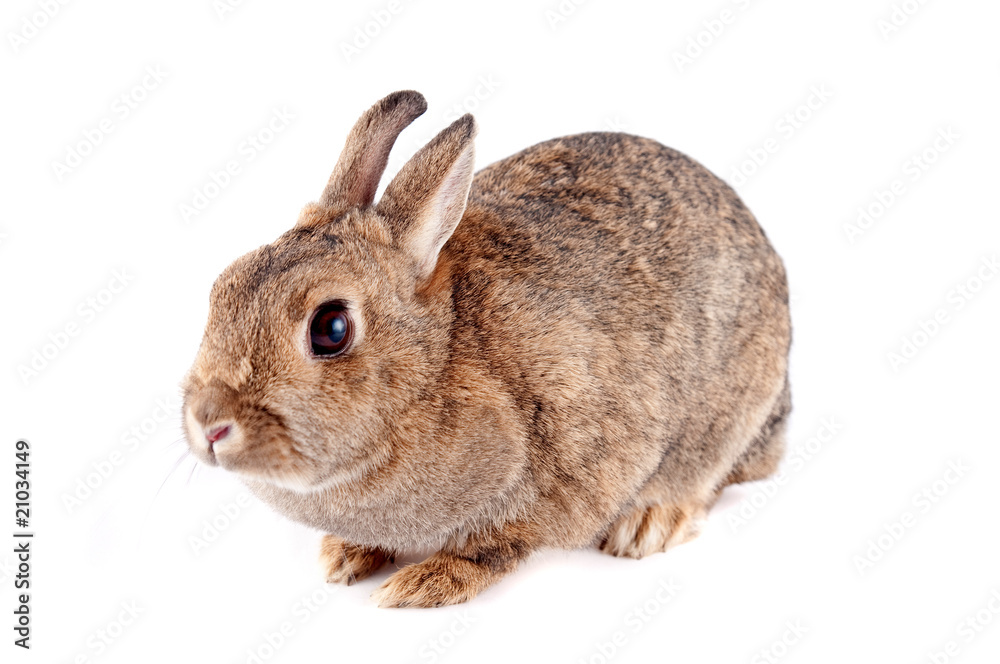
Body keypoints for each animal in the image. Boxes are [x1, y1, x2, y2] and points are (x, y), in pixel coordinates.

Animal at [182, 90, 791, 608]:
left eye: (330, 329)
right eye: (224, 286)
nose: (209, 425)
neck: (434, 363)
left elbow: (496, 547)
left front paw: (423, 583)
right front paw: (345, 556)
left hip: (723, 418)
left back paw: (646, 526)